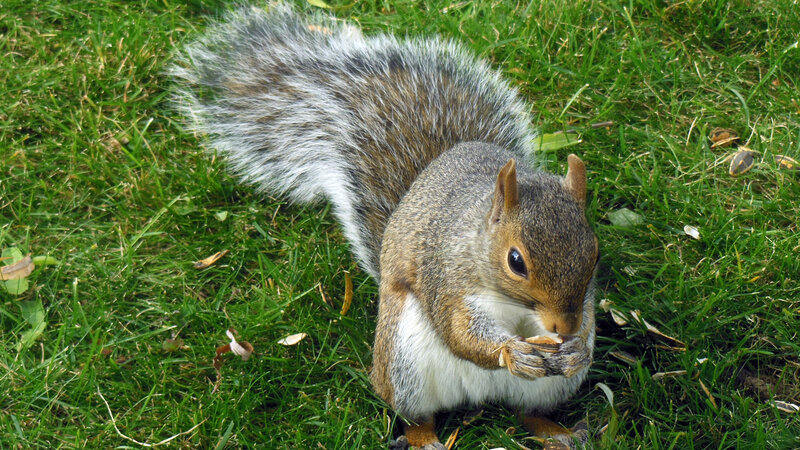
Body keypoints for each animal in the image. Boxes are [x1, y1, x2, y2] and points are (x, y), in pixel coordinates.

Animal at [171, 4, 598, 449]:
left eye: (594, 251)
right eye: (516, 261)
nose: (563, 327)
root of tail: (481, 396)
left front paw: (577, 348)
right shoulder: (445, 278)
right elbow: (460, 333)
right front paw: (510, 352)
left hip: (546, 387)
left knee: (527, 412)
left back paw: (558, 432)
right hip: (403, 365)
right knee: (415, 415)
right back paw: (425, 439)